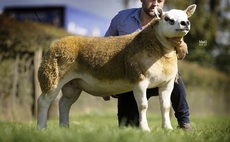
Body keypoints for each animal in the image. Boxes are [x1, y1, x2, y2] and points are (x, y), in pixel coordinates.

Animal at [37, 4, 196, 131]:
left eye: (185, 16)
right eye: (167, 18)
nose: (185, 23)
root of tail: (54, 44)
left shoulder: (167, 83)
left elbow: (166, 106)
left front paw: (167, 128)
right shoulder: (139, 79)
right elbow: (143, 106)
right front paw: (145, 129)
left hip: (73, 84)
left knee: (64, 103)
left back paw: (64, 127)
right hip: (53, 77)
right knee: (43, 101)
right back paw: (41, 128)